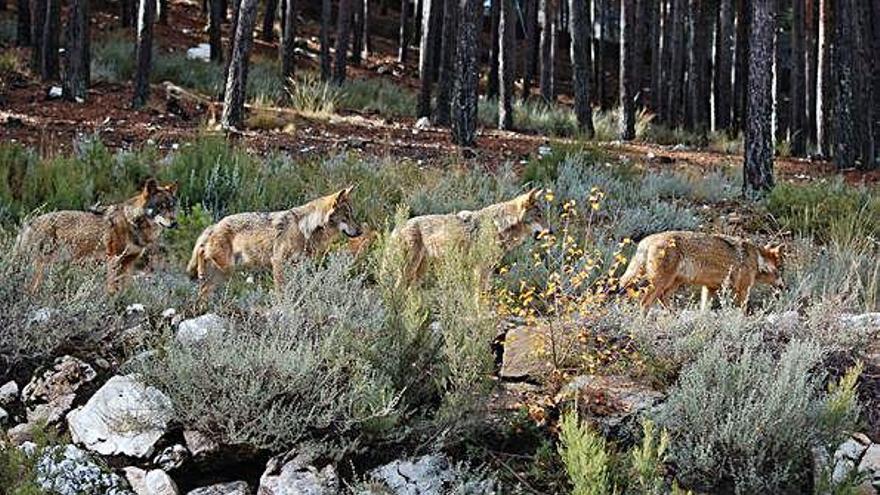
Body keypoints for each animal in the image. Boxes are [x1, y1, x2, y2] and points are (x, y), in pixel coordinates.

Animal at [16, 178, 179, 292]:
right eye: (160, 207)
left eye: (172, 207)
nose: (174, 223)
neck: (132, 222)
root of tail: (30, 222)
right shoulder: (113, 259)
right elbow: (112, 289)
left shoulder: (129, 263)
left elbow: (127, 289)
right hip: (42, 267)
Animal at [187, 189, 362, 298]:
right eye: (346, 216)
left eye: (352, 215)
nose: (360, 231)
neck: (306, 228)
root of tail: (215, 225)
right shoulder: (278, 262)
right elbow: (281, 290)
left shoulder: (297, 265)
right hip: (226, 266)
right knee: (201, 251)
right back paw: (199, 273)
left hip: (225, 270)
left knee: (204, 288)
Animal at [390, 188, 544, 284]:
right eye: (539, 216)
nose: (549, 232)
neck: (500, 225)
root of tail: (398, 227)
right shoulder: (482, 269)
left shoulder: (486, 269)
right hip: (409, 269)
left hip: (420, 271)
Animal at [620, 232, 784, 310]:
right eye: (781, 269)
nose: (783, 287)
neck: (757, 260)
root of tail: (646, 240)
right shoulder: (743, 290)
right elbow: (742, 311)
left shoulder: (709, 288)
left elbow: (704, 310)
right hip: (661, 283)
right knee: (644, 302)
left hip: (674, 283)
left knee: (662, 299)